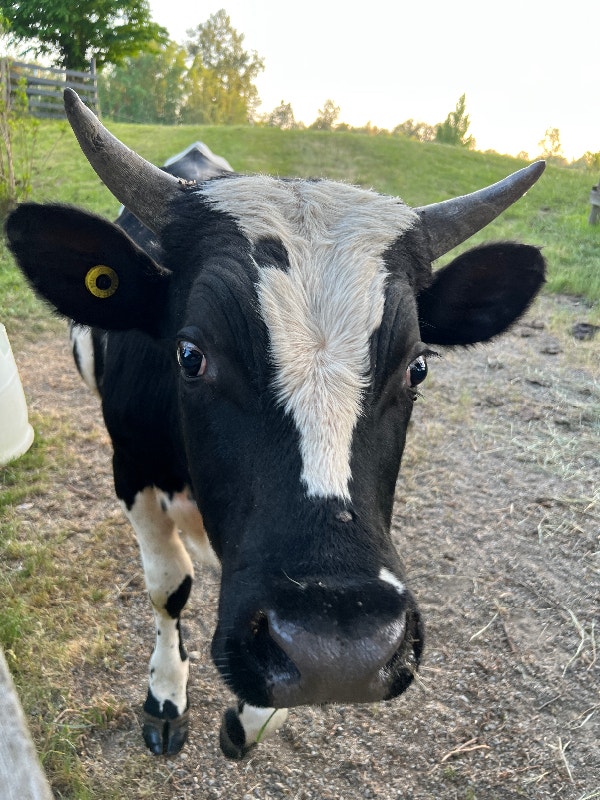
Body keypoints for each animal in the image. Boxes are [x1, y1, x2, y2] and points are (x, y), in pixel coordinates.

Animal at [5, 89, 546, 760]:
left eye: (418, 366)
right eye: (191, 354)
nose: (338, 650)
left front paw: (256, 716)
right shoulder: (130, 466)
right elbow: (168, 585)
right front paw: (166, 696)